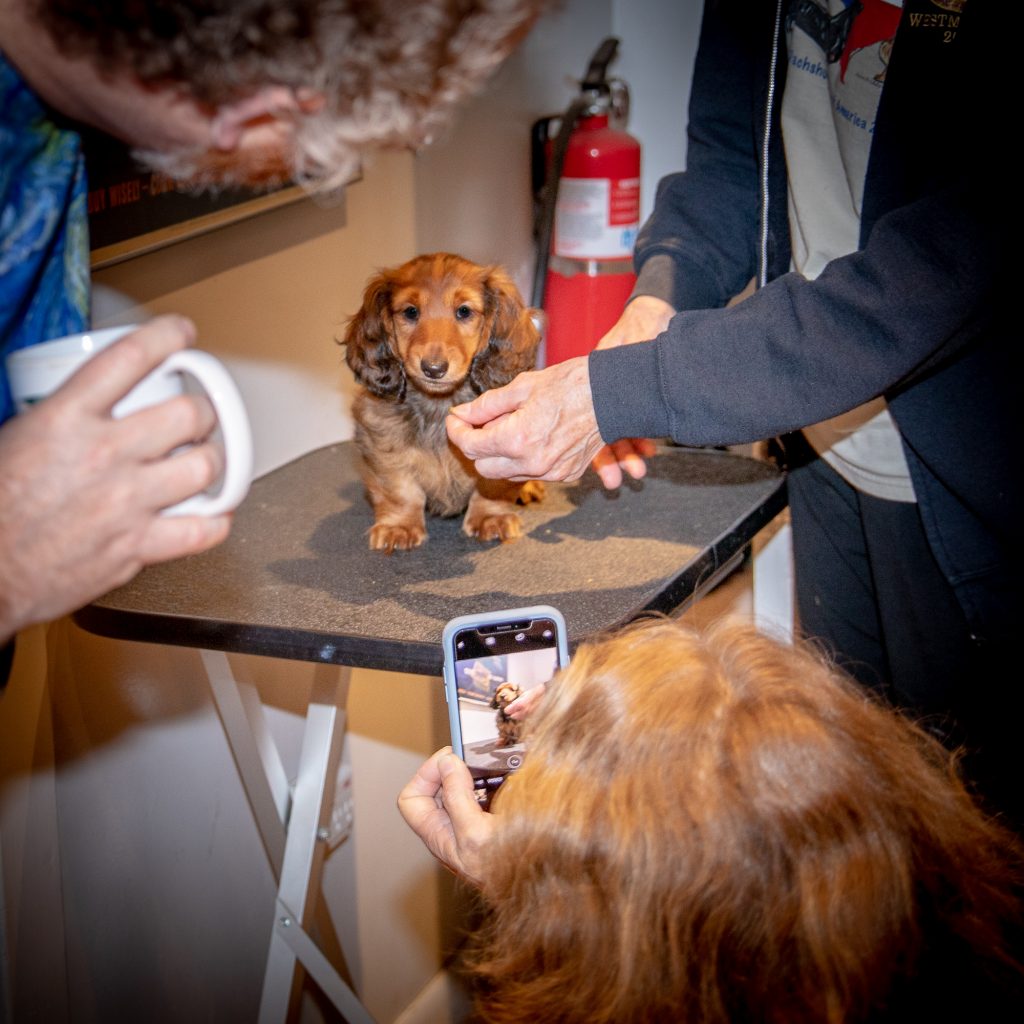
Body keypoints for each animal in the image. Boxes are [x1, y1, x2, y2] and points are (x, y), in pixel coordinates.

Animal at [339, 249, 544, 552]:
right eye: (410, 312)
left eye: (464, 311)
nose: (433, 368)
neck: (439, 405)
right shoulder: (381, 439)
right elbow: (400, 490)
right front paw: (399, 526)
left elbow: (492, 485)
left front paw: (491, 517)